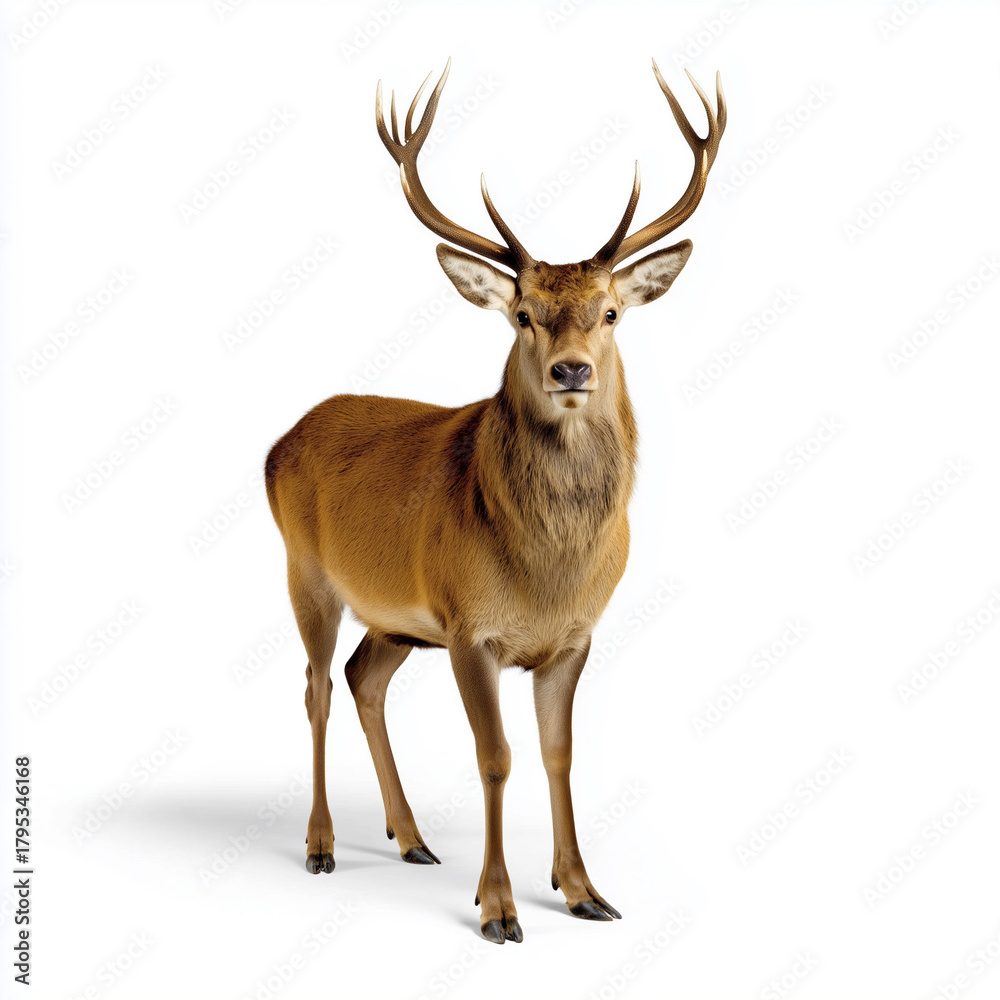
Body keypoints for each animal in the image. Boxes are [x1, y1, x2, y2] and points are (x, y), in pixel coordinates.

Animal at [264, 58, 725, 944]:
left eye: (610, 312)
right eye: (522, 314)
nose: (572, 368)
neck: (546, 568)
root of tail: (276, 443)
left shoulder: (572, 637)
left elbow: (558, 754)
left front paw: (584, 891)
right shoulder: (468, 626)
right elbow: (496, 757)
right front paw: (500, 908)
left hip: (398, 620)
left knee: (363, 677)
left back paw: (410, 838)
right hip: (306, 572)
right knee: (316, 686)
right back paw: (321, 844)